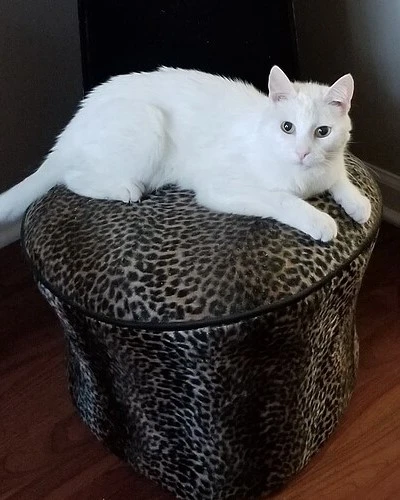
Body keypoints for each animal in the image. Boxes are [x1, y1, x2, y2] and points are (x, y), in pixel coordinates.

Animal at [0, 65, 372, 241]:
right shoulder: (221, 187)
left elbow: (340, 178)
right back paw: (125, 189)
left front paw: (358, 203)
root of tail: (71, 126)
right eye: (287, 127)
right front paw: (319, 219)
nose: (303, 152)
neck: (306, 177)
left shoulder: (332, 163)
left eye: (322, 132)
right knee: (72, 177)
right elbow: (283, 199)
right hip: (147, 123)